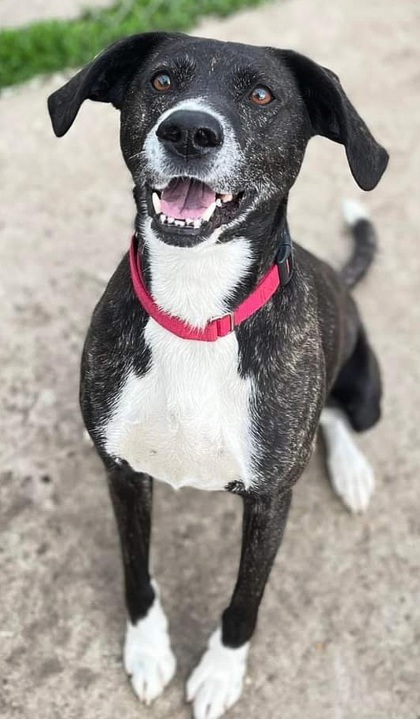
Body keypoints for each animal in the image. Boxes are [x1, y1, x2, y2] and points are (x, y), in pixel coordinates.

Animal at [47, 32, 388, 719]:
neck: (195, 312)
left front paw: (219, 673)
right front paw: (148, 649)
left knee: (338, 416)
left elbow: (244, 600)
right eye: (160, 81)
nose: (189, 131)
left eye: (261, 95)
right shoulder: (122, 473)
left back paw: (351, 471)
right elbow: (136, 570)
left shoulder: (270, 500)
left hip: (367, 392)